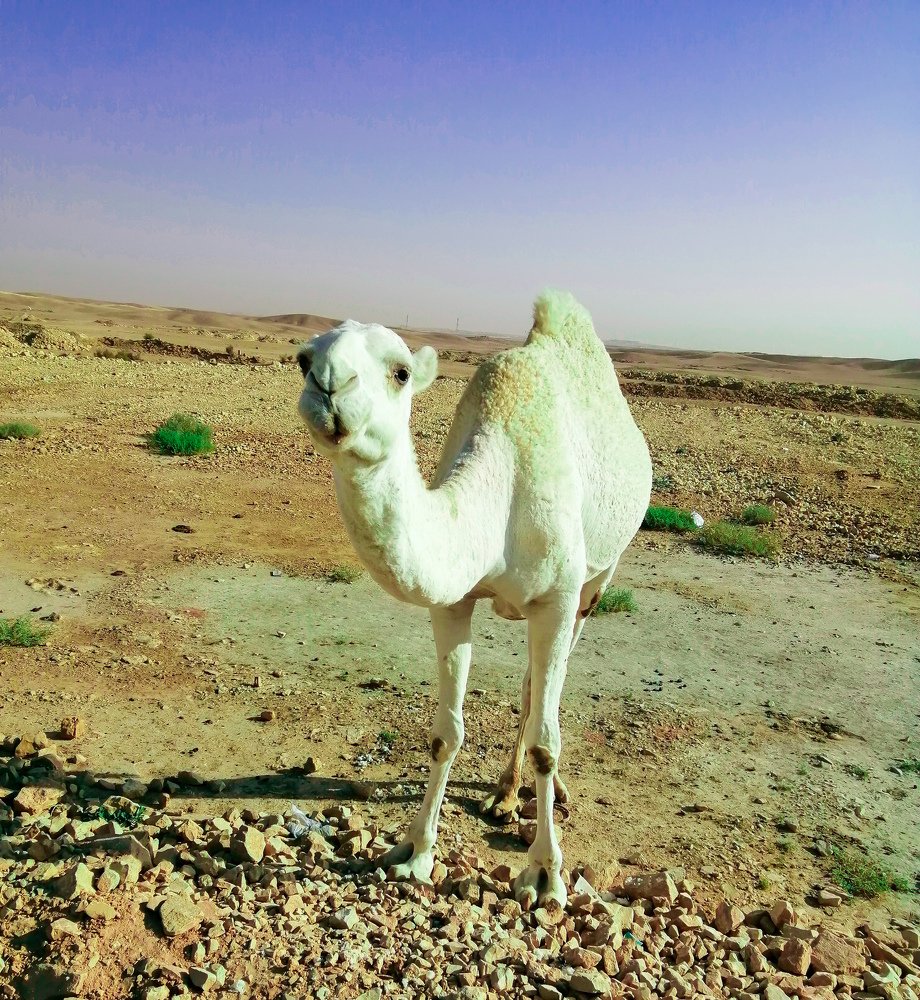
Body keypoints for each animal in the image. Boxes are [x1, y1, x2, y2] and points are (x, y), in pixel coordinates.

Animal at [297, 290, 651, 906]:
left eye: (400, 371)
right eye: (302, 358)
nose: (328, 385)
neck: (496, 500)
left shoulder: (559, 596)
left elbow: (546, 742)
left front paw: (545, 875)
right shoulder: (451, 601)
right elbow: (445, 734)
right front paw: (414, 851)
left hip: (598, 581)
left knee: (546, 688)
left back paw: (546, 796)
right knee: (531, 690)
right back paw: (505, 794)